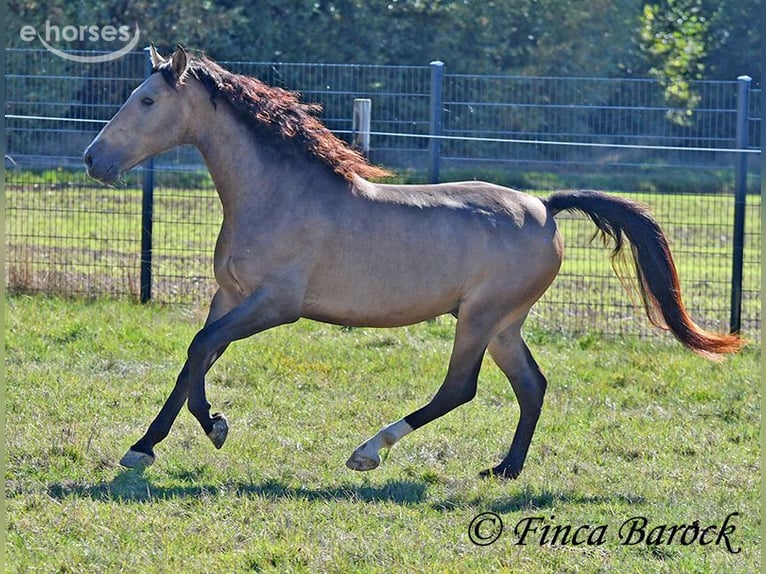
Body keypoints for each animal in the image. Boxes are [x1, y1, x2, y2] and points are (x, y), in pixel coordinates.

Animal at [83, 45, 743, 478]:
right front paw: (183, 434)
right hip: (503, 324)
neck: (275, 193)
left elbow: (200, 349)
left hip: (480, 319)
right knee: (531, 386)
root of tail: (545, 205)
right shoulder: (231, 296)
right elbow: (198, 355)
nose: (93, 160)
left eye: (146, 100)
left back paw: (368, 451)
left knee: (460, 388)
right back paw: (504, 469)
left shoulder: (276, 305)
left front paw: (171, 439)